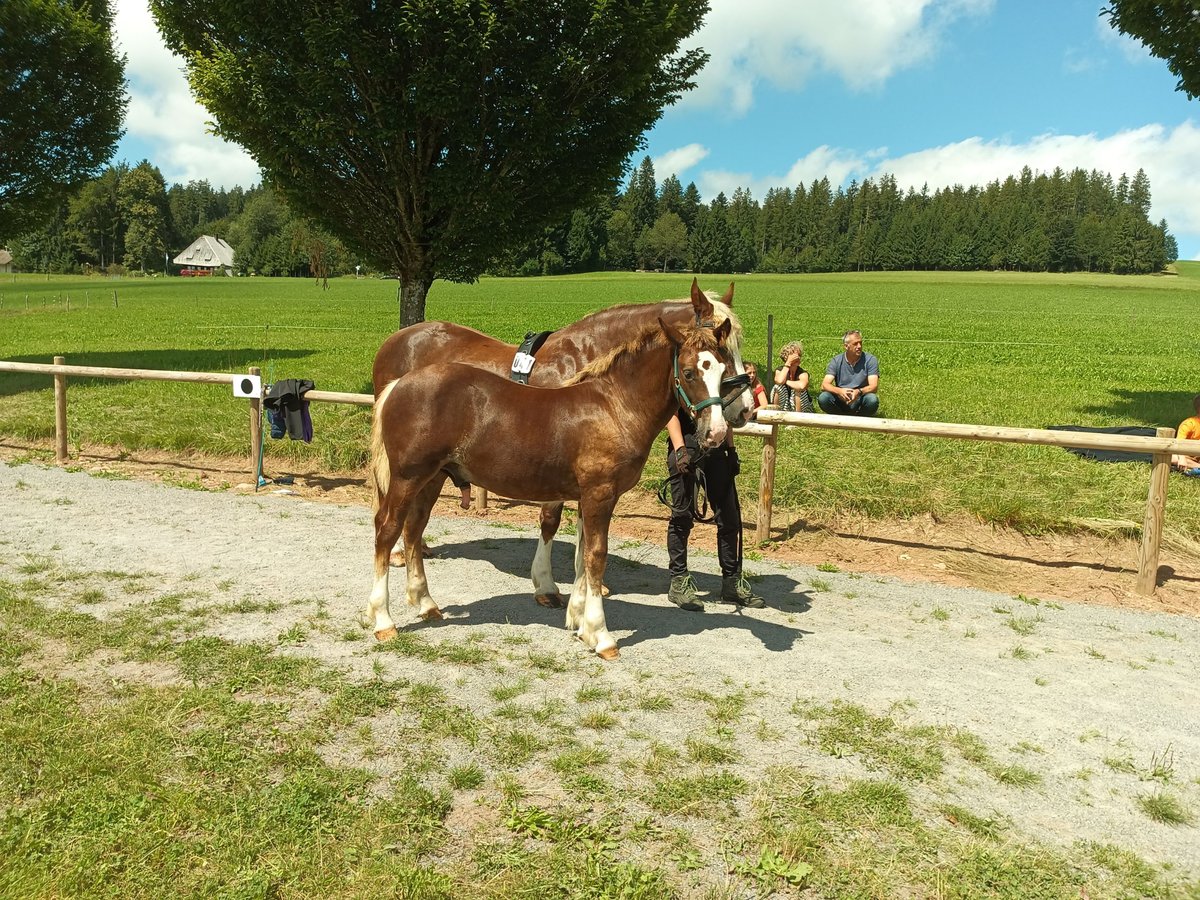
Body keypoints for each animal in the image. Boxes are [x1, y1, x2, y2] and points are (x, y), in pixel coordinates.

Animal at [367, 292, 739, 657]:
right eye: (689, 373)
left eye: (722, 368)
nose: (718, 432)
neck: (614, 405)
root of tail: (399, 383)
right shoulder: (599, 493)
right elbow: (595, 555)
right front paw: (601, 636)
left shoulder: (590, 496)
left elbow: (583, 552)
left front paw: (580, 624)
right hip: (407, 477)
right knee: (387, 530)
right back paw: (383, 621)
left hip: (433, 477)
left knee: (414, 528)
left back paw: (426, 604)